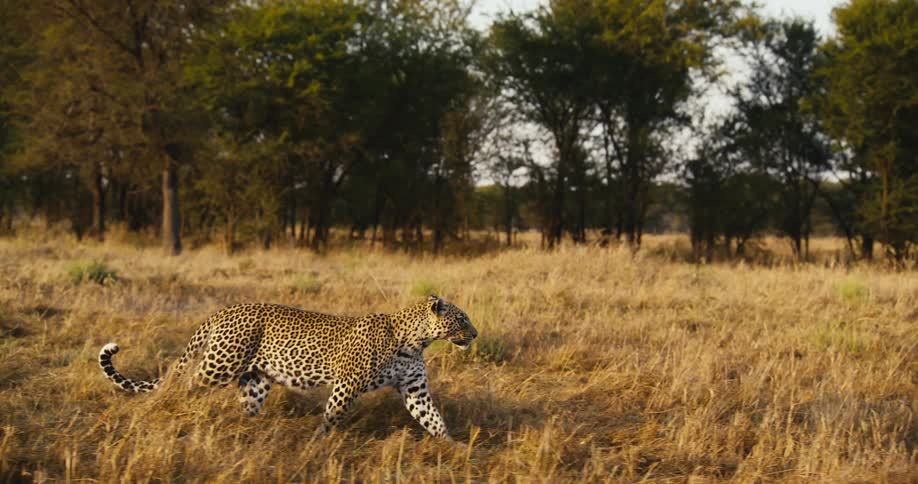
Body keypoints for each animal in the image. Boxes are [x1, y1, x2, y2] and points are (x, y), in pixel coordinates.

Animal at [98, 295, 477, 438]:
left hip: (255, 380)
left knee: (246, 406)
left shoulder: (415, 389)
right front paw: (320, 444)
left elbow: (432, 419)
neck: (415, 341)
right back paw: (172, 413)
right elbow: (333, 415)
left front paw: (453, 449)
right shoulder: (347, 382)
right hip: (219, 365)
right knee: (185, 385)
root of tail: (224, 310)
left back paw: (249, 433)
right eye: (461, 318)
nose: (475, 334)